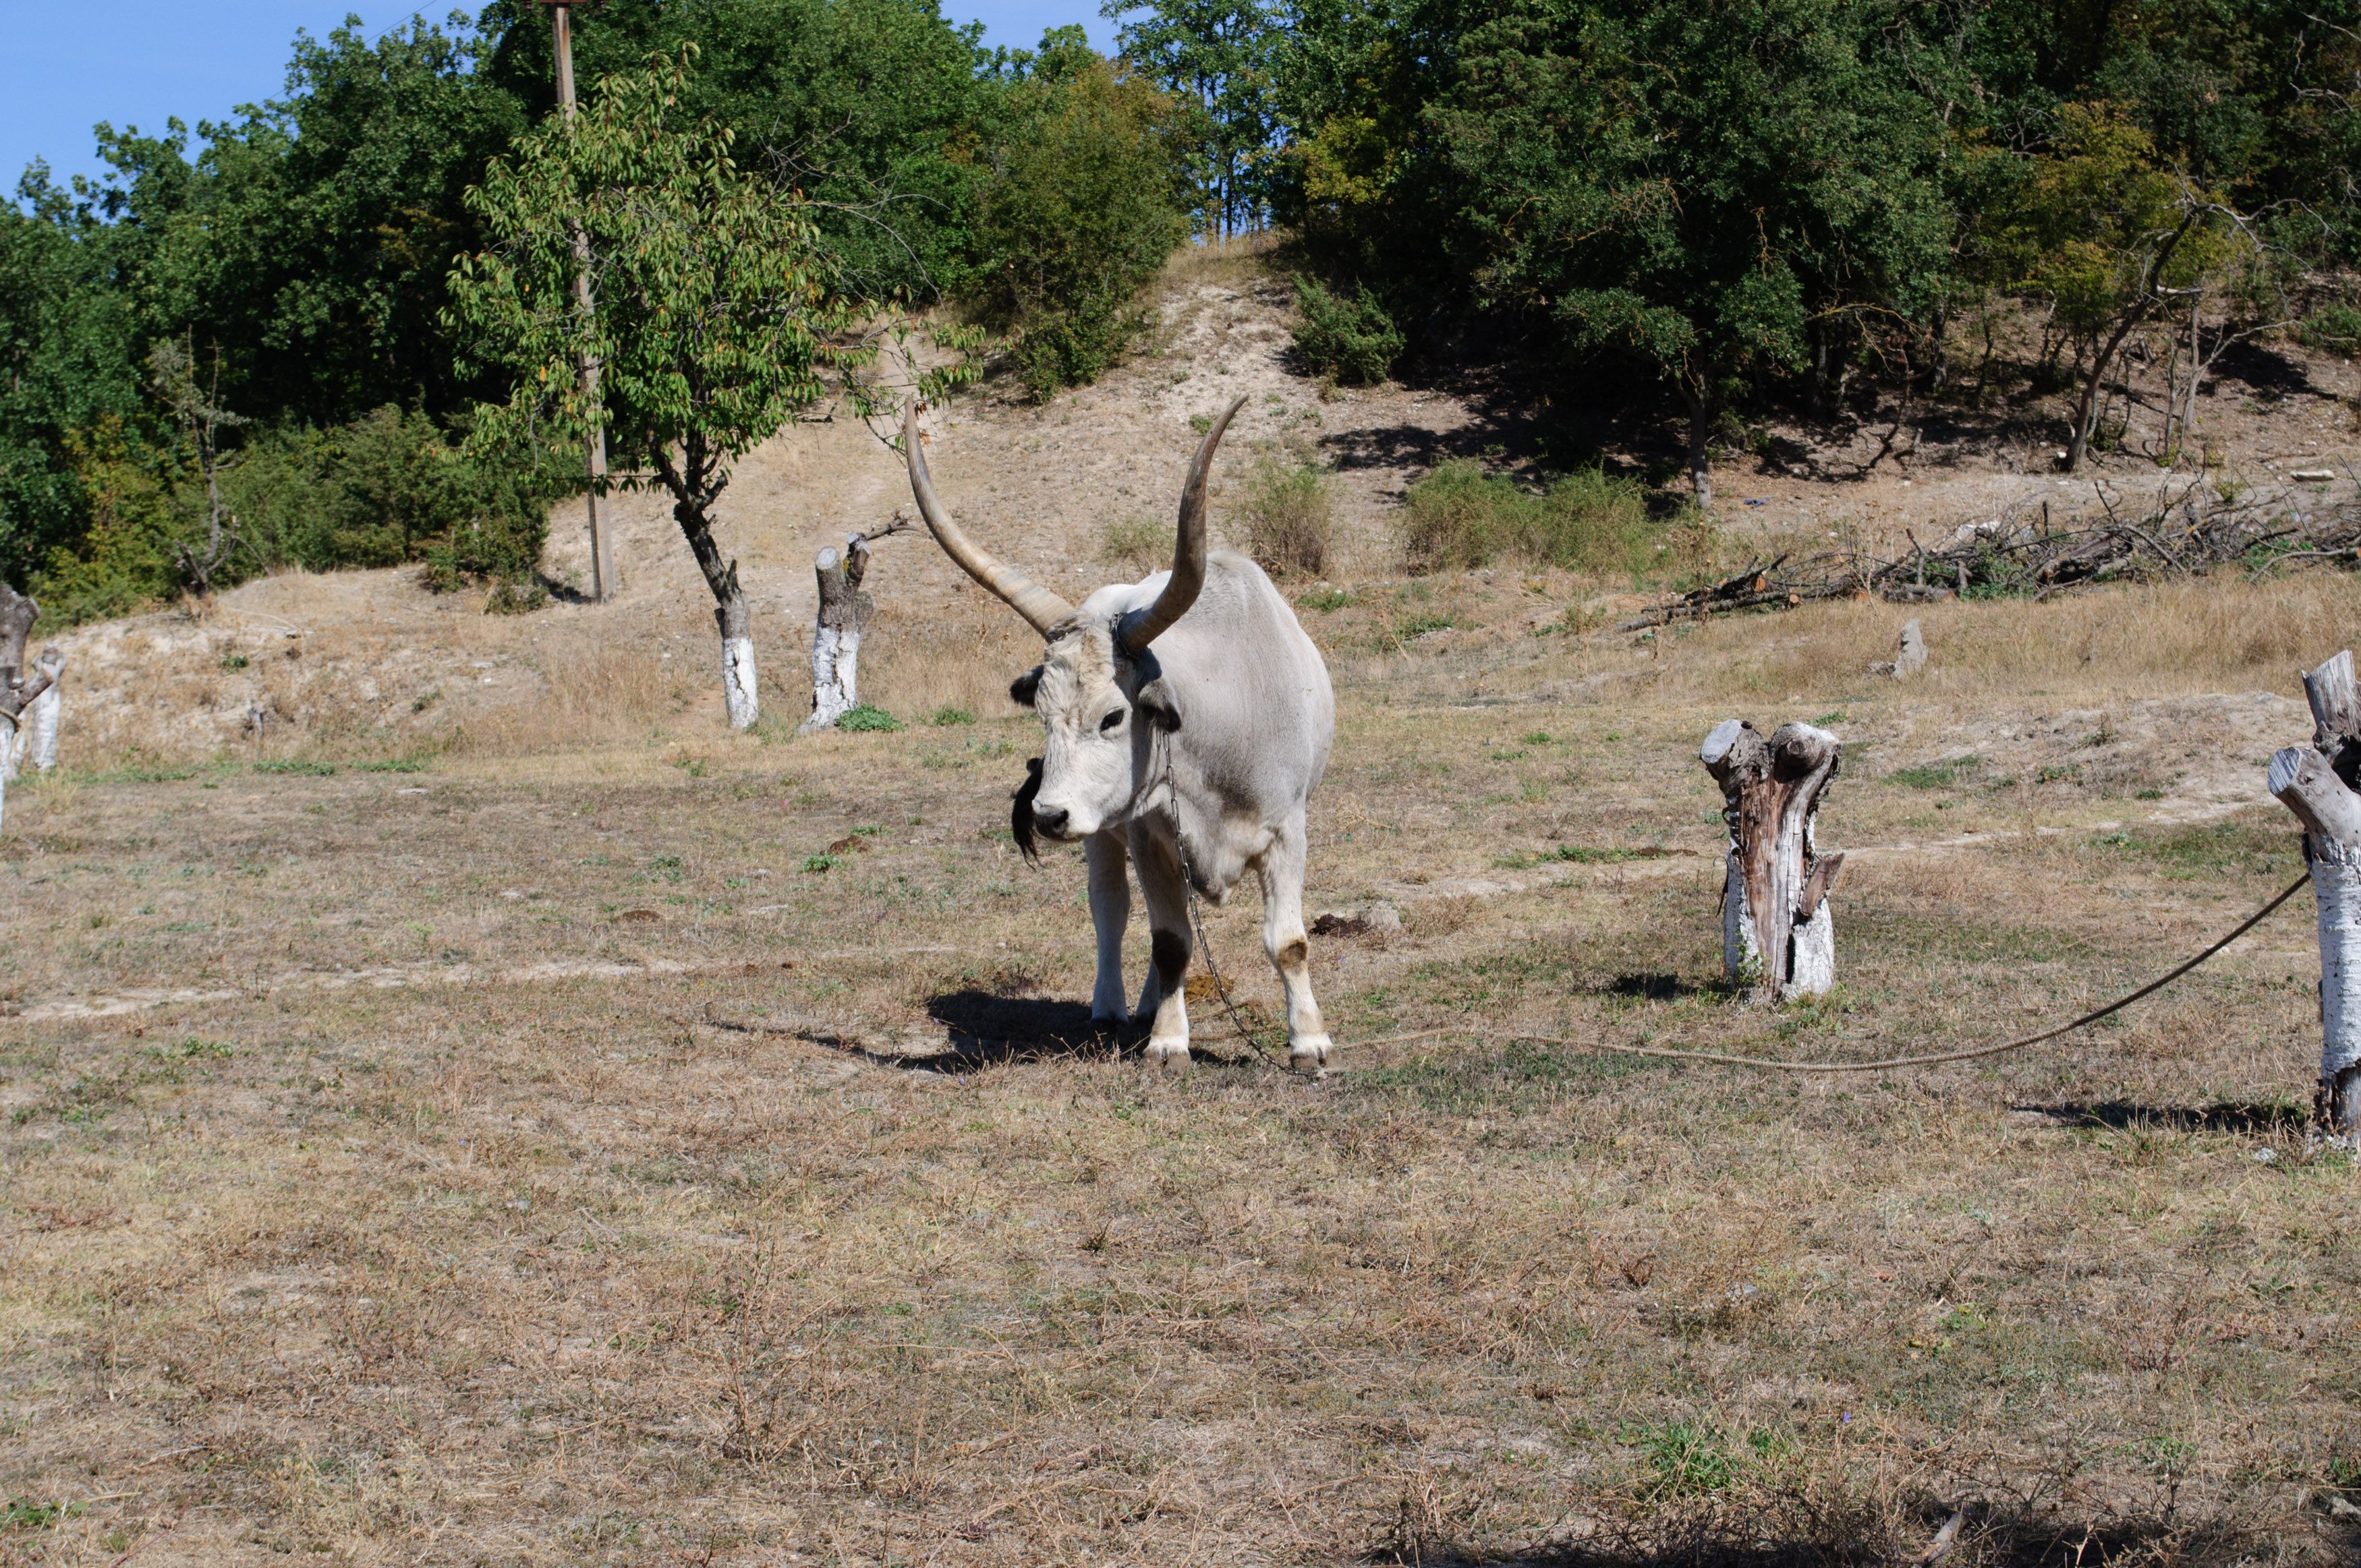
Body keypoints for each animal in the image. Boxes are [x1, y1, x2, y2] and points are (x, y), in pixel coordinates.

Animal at [901, 397, 1338, 1072]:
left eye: (1113, 716)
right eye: (1041, 713)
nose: (1047, 815)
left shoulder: (1288, 830)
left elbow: (1288, 942)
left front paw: (1309, 1041)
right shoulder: (1148, 834)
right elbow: (1169, 940)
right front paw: (1167, 1040)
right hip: (1104, 834)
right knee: (1110, 906)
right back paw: (1114, 1007)